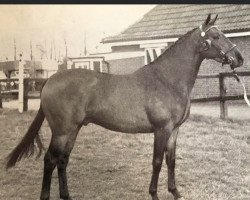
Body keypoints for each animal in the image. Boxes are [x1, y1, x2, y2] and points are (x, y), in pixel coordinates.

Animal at [5, 14, 244, 200]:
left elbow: (171, 161)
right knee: (50, 160)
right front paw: (154, 194)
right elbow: (157, 161)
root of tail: (50, 80)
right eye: (216, 36)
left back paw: (67, 195)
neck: (167, 80)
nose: (239, 57)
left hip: (73, 130)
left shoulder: (174, 130)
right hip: (62, 132)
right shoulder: (162, 129)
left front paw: (175, 192)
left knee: (62, 161)